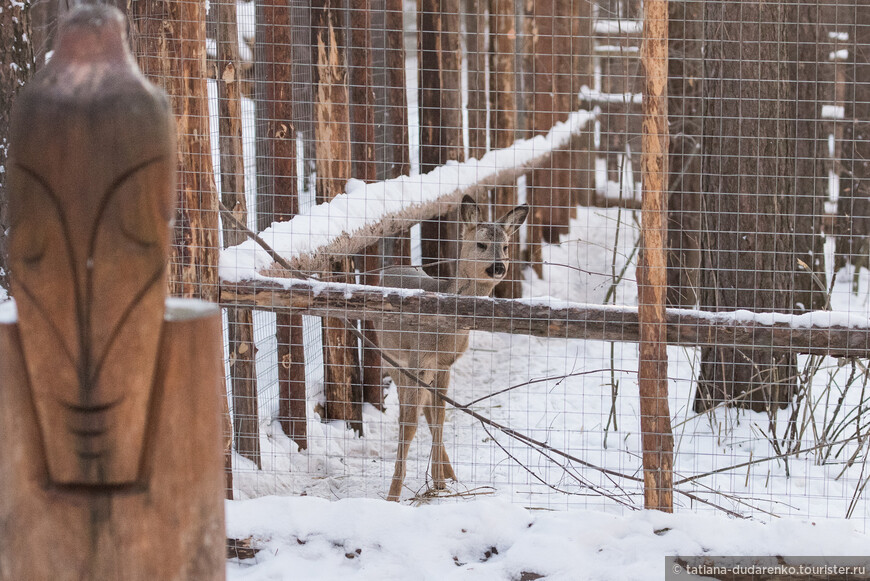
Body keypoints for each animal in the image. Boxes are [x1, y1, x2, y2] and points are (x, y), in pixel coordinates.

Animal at [376, 194, 528, 498]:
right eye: (481, 244)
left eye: (506, 246)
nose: (499, 267)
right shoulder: (418, 359)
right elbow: (410, 423)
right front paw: (394, 493)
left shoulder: (445, 364)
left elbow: (439, 418)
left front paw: (439, 482)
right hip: (390, 357)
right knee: (410, 413)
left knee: (426, 411)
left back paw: (449, 473)